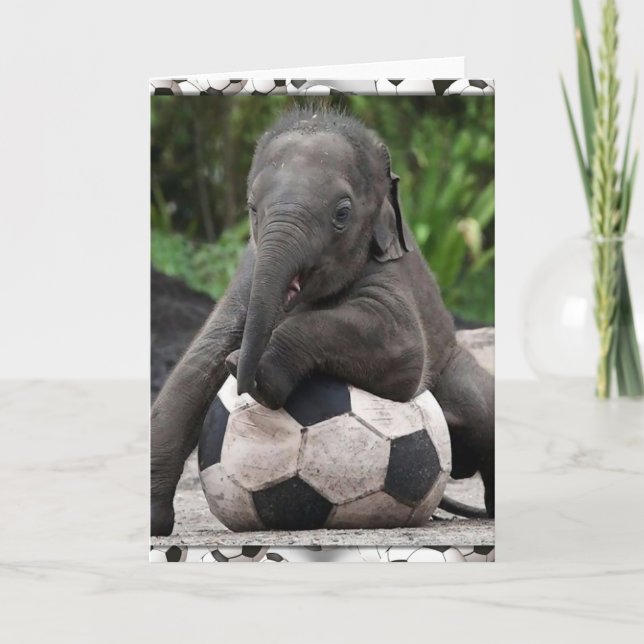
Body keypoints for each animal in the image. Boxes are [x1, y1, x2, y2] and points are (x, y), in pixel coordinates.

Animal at [151, 108, 494, 536]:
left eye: (342, 214)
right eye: (252, 208)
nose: (244, 379)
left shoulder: (390, 268)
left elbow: (405, 354)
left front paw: (255, 371)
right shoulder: (249, 270)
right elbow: (198, 363)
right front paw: (154, 522)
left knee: (483, 408)